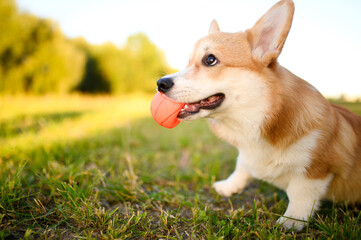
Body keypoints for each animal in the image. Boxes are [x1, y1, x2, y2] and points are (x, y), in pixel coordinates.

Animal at [155, 0, 360, 231]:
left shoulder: (316, 168)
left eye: (210, 59)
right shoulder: (246, 154)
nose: (160, 84)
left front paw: (291, 221)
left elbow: (300, 193)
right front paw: (229, 186)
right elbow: (242, 166)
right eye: (188, 62)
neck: (260, 117)